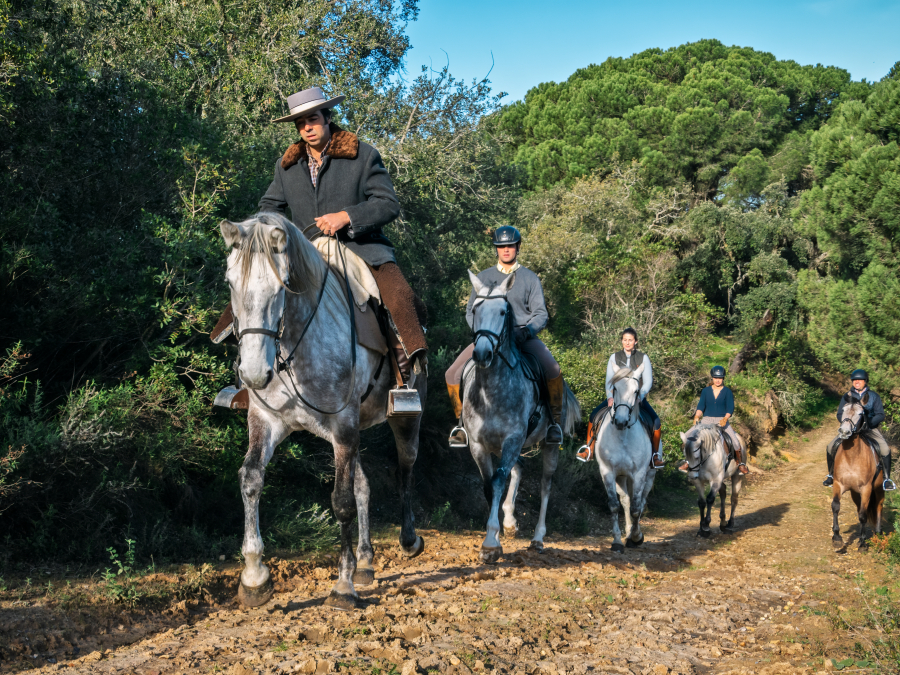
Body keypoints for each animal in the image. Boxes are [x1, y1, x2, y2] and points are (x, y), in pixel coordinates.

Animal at [221, 213, 426, 612]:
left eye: (282, 285)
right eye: (230, 282)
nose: (253, 373)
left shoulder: (343, 425)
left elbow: (341, 501)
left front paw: (342, 585)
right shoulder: (267, 421)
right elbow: (250, 479)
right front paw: (254, 577)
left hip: (404, 418)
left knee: (406, 470)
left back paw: (408, 540)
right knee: (364, 485)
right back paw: (365, 561)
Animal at [460, 272, 580, 564]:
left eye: (503, 311)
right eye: (475, 309)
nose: (482, 354)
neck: (491, 392)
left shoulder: (512, 439)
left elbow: (498, 481)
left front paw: (491, 544)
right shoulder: (479, 445)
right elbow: (489, 485)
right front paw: (496, 534)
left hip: (547, 445)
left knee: (545, 486)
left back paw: (537, 539)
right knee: (518, 469)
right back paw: (511, 522)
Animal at [828, 398, 884, 552]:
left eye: (860, 413)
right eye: (843, 410)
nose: (844, 431)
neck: (852, 457)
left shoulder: (866, 488)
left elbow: (864, 515)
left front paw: (863, 543)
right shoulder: (838, 484)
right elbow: (836, 506)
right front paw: (837, 539)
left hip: (878, 488)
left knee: (878, 506)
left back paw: (878, 534)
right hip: (855, 493)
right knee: (859, 508)